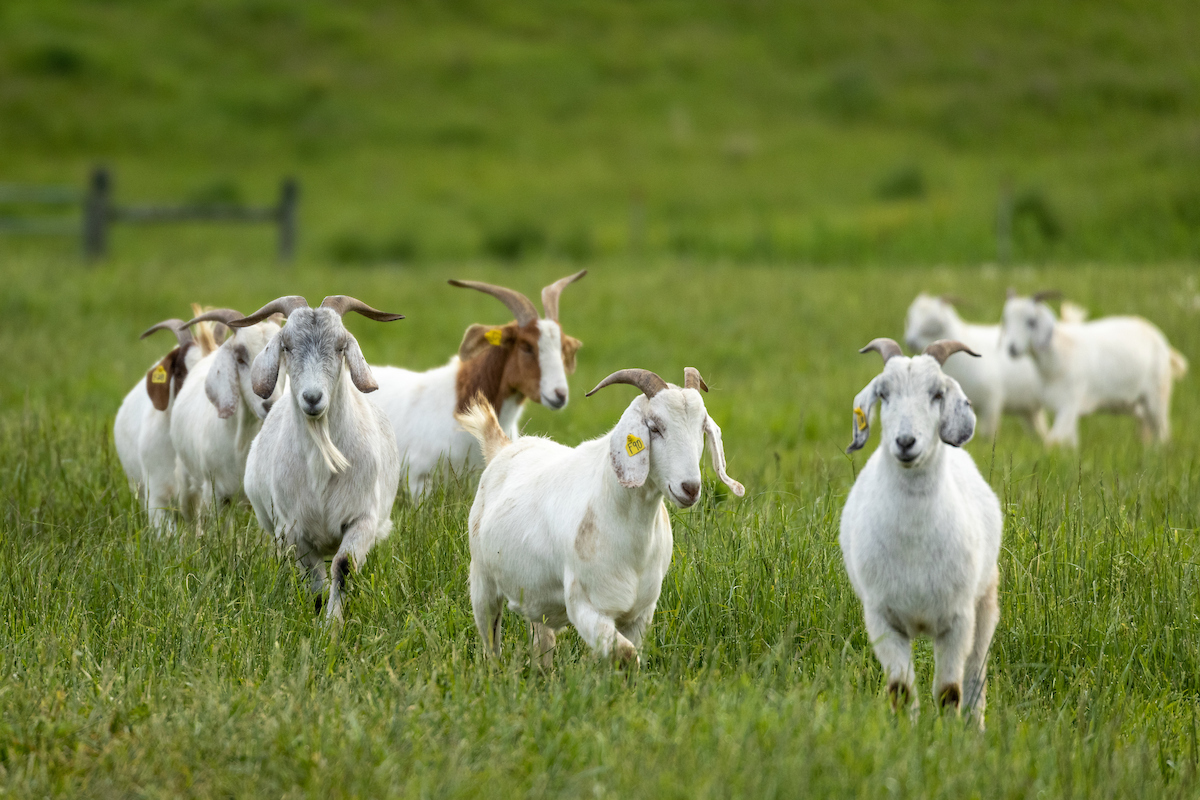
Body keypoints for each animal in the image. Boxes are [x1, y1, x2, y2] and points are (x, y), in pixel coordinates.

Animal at [234, 295, 403, 623]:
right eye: (287, 346)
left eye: (340, 347)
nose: (312, 398)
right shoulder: (293, 531)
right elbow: (314, 581)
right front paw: (321, 618)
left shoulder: (362, 518)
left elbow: (343, 566)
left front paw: (333, 624)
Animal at [457, 367, 744, 669]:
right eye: (654, 427)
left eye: (701, 428)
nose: (690, 488)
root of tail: (503, 449)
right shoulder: (586, 606)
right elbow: (626, 655)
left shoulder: (640, 614)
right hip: (482, 583)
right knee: (491, 640)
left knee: (542, 641)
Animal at [840, 338, 1002, 728]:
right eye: (883, 393)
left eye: (938, 393)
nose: (905, 442)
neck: (914, 541)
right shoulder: (882, 618)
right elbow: (900, 690)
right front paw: (905, 733)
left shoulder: (958, 620)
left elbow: (949, 692)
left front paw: (947, 737)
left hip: (986, 601)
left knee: (976, 676)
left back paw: (976, 729)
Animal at [1000, 290, 1188, 446]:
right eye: (1006, 321)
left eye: (1031, 322)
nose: (1012, 348)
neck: (1057, 355)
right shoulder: (1065, 409)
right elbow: (1070, 444)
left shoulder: (1069, 404)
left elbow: (1052, 441)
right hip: (1137, 404)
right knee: (1147, 429)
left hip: (1158, 396)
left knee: (1163, 433)